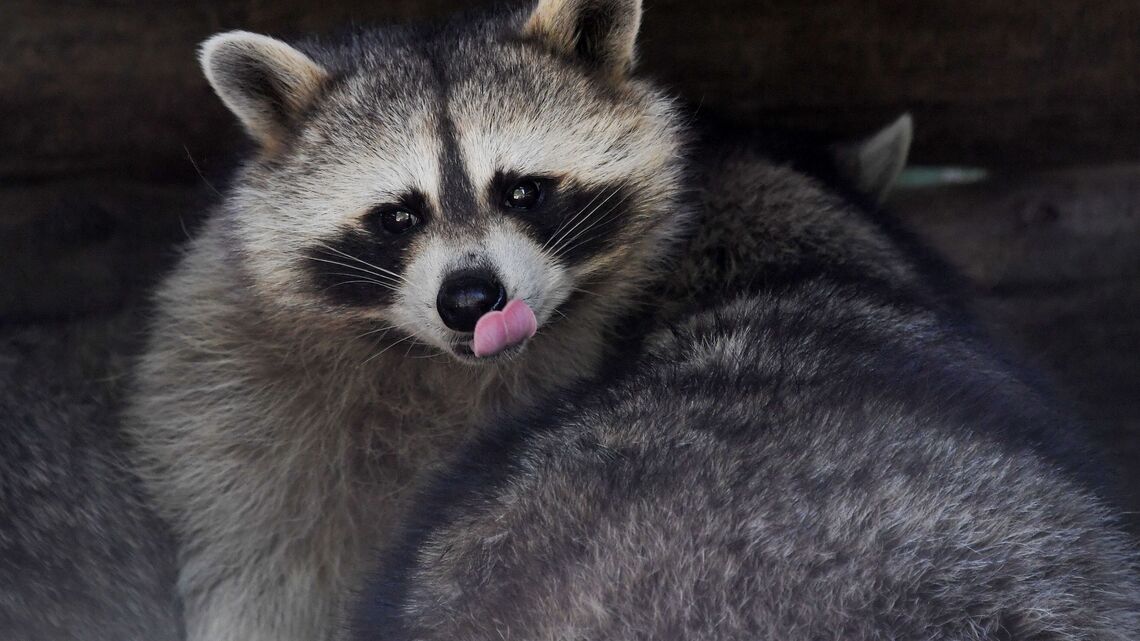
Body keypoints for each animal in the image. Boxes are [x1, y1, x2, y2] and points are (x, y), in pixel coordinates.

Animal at [125, 1, 689, 639]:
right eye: (398, 216)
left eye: (523, 191)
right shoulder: (236, 403)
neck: (438, 365)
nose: (470, 300)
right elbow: (264, 558)